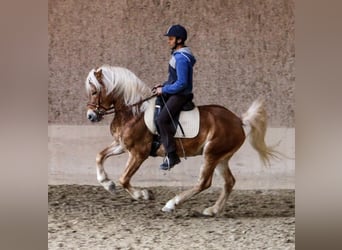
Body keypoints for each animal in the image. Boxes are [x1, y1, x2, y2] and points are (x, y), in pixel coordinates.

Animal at [85, 65, 278, 217]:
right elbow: (99, 156)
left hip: (211, 153)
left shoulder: (139, 153)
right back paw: (213, 210)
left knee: (204, 182)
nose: (91, 116)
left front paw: (144, 195)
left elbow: (124, 179)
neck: (133, 112)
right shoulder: (121, 146)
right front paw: (107, 184)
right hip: (221, 157)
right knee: (229, 182)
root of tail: (238, 120)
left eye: (94, 92)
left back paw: (172, 204)